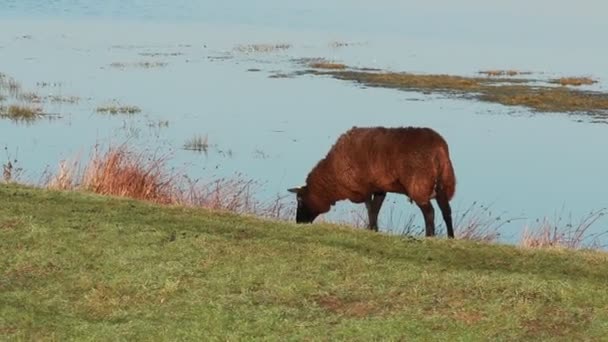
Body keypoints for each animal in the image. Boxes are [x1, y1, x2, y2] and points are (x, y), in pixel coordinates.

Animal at [290, 125, 456, 238]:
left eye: (300, 199)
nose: (298, 222)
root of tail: (439, 148)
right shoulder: (379, 188)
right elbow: (376, 209)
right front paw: (374, 230)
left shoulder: (365, 188)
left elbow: (370, 210)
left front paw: (370, 229)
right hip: (443, 183)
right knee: (446, 211)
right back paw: (450, 237)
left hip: (419, 185)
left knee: (430, 212)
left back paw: (430, 237)